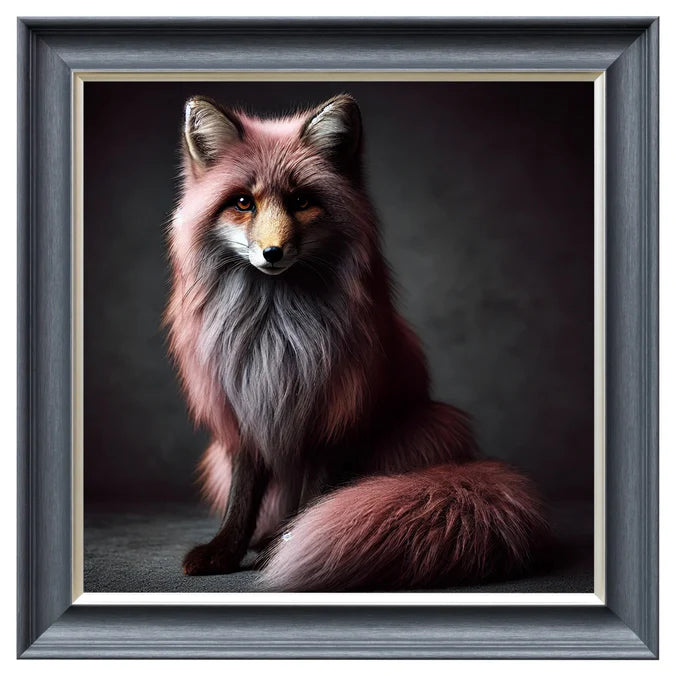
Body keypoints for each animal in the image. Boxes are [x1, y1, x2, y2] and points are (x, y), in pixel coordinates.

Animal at [165, 93, 549, 591]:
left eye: (301, 201)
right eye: (244, 202)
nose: (272, 253)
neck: (276, 333)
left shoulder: (332, 414)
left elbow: (313, 496)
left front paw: (287, 541)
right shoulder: (242, 410)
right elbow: (242, 495)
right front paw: (226, 550)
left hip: (430, 428)